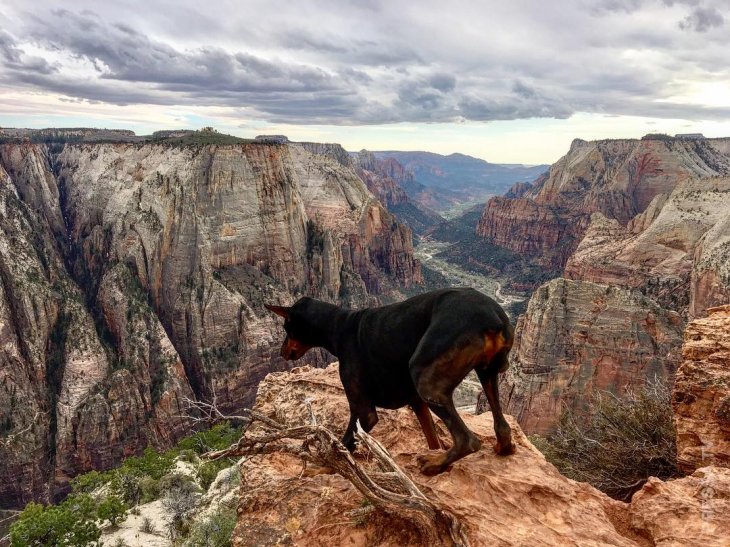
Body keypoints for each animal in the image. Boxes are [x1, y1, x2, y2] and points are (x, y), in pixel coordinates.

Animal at [266, 286, 512, 476]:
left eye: (286, 328)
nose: (281, 352)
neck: (339, 326)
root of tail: (493, 316)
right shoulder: (417, 402)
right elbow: (432, 438)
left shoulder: (363, 410)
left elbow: (345, 444)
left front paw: (325, 467)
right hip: (487, 373)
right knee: (502, 425)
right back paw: (500, 447)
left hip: (425, 378)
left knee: (467, 440)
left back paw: (433, 464)